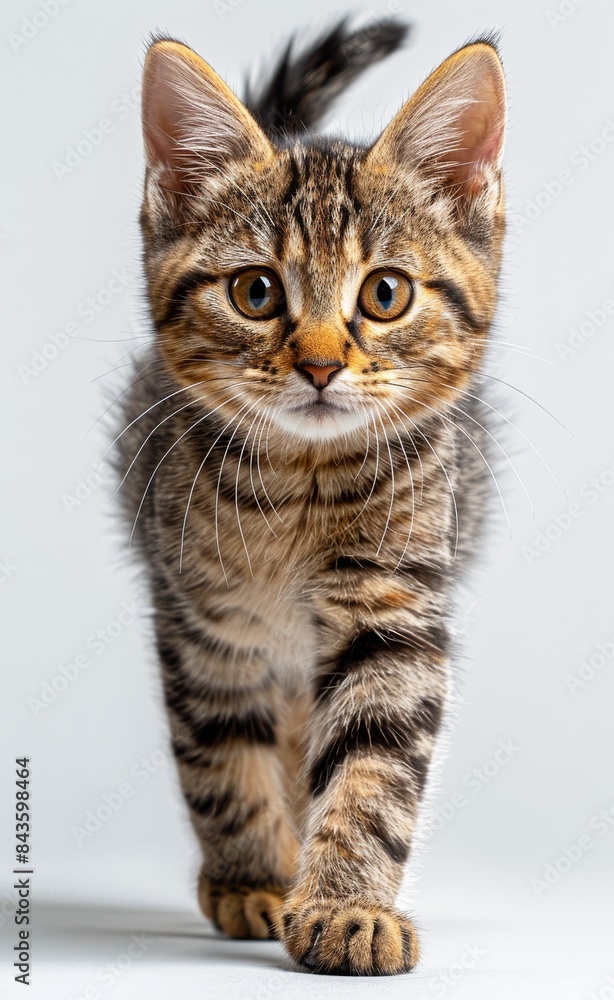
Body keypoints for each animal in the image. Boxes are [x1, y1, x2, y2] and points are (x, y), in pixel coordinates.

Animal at [116, 19, 510, 972]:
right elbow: (222, 756)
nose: (323, 365)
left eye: (385, 293)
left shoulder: (394, 605)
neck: (304, 483)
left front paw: (347, 904)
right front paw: (255, 877)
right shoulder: (204, 621)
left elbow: (373, 764)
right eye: (256, 292)